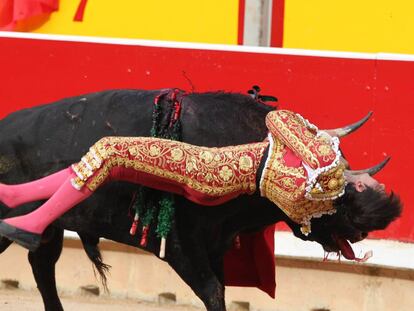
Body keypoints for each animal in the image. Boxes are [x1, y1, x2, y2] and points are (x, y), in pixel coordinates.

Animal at [0, 89, 390, 310]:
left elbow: (219, 291)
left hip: (50, 230)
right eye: (338, 202)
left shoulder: (215, 247)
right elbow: (213, 293)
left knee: (42, 263)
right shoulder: (181, 246)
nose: (359, 234)